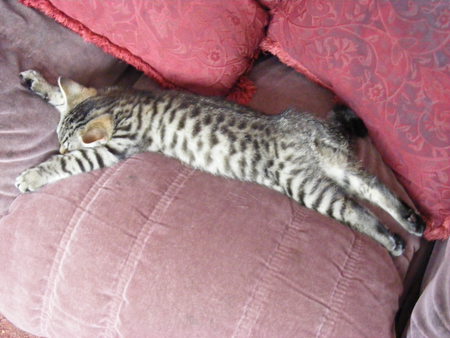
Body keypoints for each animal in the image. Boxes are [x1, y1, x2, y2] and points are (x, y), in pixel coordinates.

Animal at [15, 70, 424, 256]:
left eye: (63, 149)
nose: (58, 149)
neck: (119, 102)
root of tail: (306, 126)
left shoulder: (113, 146)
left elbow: (73, 162)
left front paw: (33, 175)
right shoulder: (102, 94)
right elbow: (62, 96)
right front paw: (38, 82)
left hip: (305, 185)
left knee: (356, 209)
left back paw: (393, 240)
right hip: (338, 166)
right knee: (375, 186)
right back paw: (413, 221)